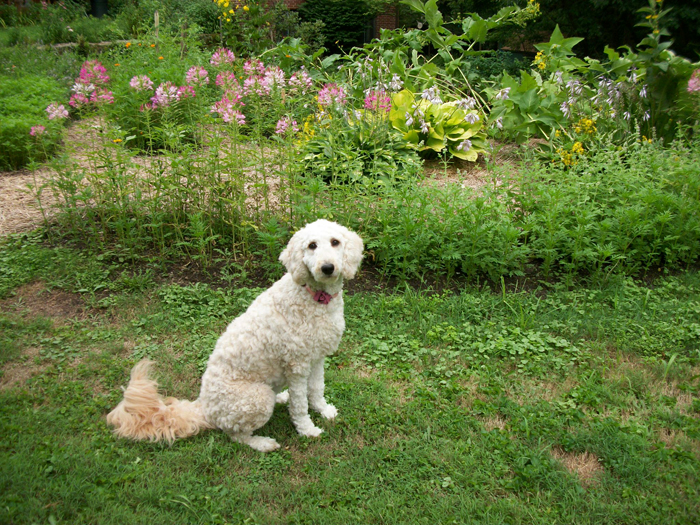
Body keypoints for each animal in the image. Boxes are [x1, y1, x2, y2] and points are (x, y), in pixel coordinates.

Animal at [108, 219, 366, 452]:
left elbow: (316, 388)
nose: (327, 267)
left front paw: (323, 410)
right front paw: (307, 429)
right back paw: (263, 443)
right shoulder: (297, 365)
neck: (314, 298)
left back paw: (282, 398)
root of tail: (204, 408)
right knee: (236, 435)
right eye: (312, 245)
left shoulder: (317, 358)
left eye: (335, 242)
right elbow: (300, 404)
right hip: (256, 399)